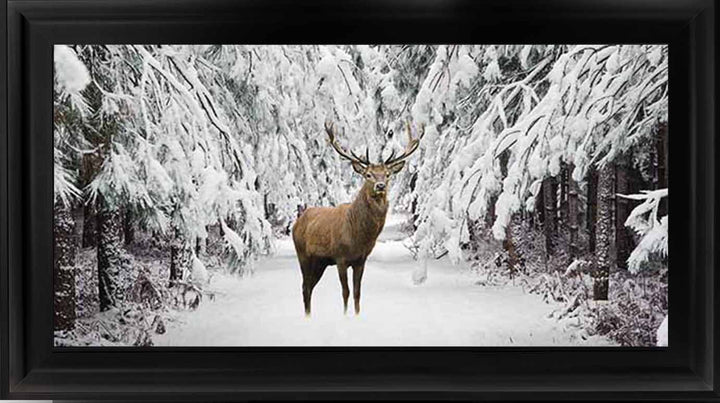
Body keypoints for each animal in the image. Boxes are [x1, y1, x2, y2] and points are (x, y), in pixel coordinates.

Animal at [292, 120, 423, 317]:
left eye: (388, 174)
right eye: (368, 174)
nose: (380, 185)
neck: (358, 236)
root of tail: (297, 221)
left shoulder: (361, 260)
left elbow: (357, 292)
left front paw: (357, 315)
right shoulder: (340, 257)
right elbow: (345, 292)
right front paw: (345, 316)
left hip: (320, 262)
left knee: (309, 287)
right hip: (303, 255)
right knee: (305, 287)